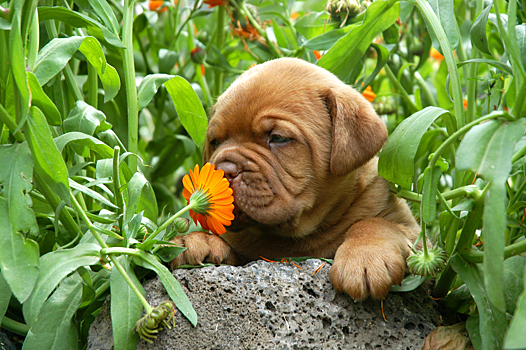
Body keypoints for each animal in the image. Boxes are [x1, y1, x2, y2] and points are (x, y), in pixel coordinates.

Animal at [171, 58, 422, 300]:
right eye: (215, 141)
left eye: (278, 138)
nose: (224, 170)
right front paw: (196, 240)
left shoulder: (417, 236)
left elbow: (376, 224)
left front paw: (365, 255)